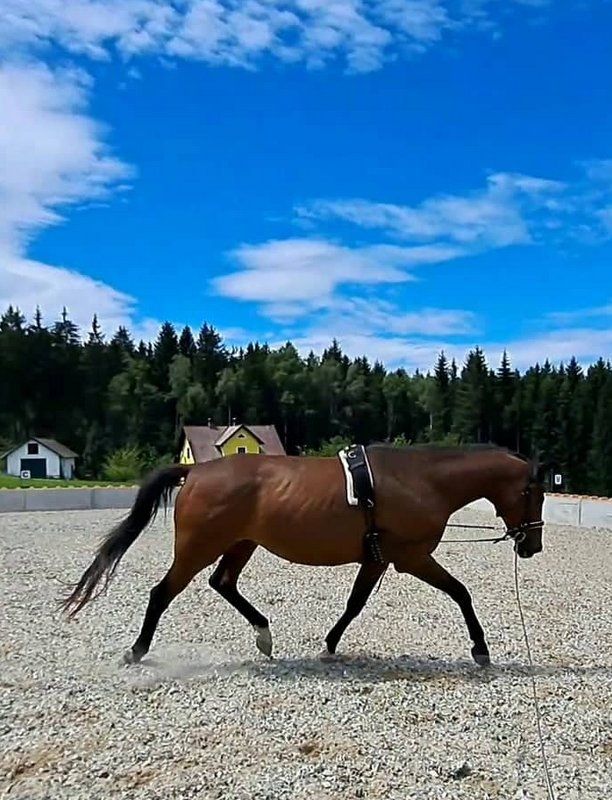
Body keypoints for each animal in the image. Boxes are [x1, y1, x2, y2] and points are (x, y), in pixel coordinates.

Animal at [62, 444, 545, 667]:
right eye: (534, 493)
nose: (532, 545)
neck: (421, 480)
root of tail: (195, 470)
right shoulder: (410, 558)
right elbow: (461, 593)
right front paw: (480, 649)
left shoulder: (377, 558)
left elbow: (355, 604)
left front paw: (330, 644)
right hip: (199, 547)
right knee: (162, 593)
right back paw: (138, 650)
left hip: (240, 544)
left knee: (223, 583)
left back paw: (263, 634)